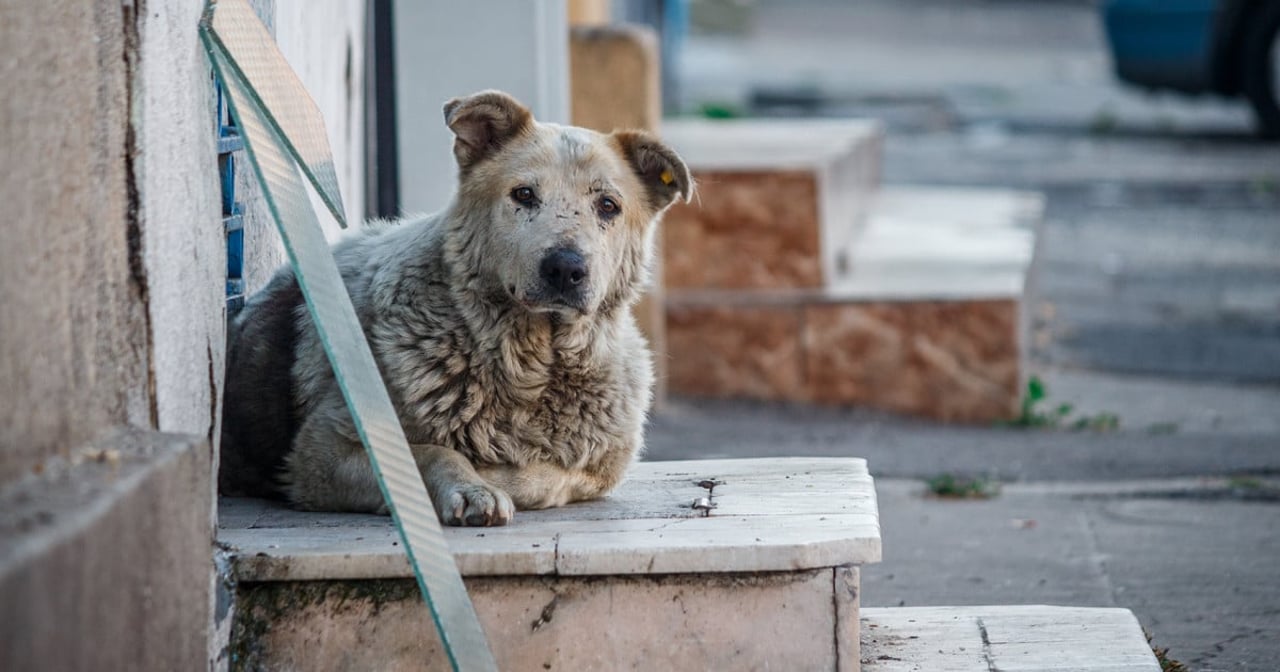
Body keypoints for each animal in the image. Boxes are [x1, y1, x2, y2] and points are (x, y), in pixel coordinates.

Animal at [225, 91, 696, 527]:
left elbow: (545, 476)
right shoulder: (321, 452)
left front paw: (496, 475)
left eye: (608, 206)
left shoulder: (598, 470)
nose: (566, 268)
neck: (531, 368)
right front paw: (471, 485)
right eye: (524, 195)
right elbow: (433, 452)